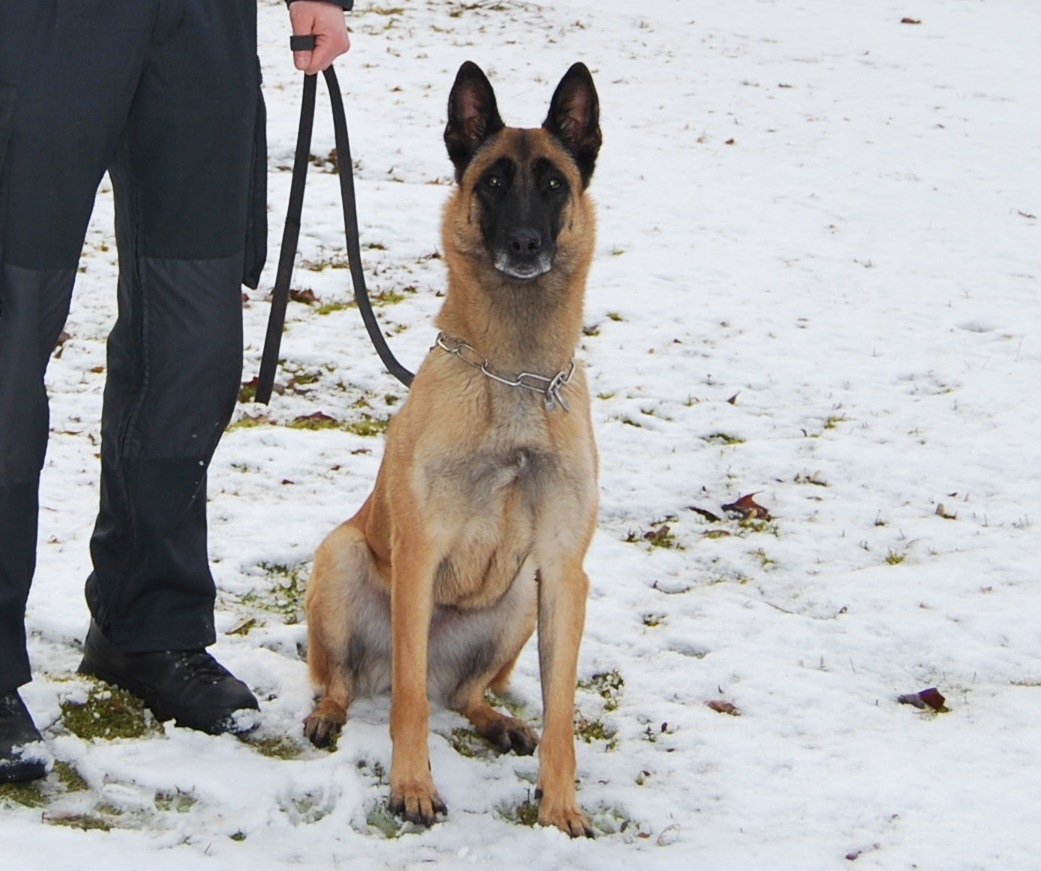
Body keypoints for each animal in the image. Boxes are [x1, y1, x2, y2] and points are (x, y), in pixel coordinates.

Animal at [301, 59, 603, 836]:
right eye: (492, 181)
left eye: (553, 183)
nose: (525, 243)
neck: (517, 377)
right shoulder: (419, 552)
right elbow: (408, 701)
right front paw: (411, 787)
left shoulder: (563, 570)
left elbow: (562, 714)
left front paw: (561, 805)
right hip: (341, 557)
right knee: (354, 679)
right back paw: (329, 713)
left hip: (519, 600)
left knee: (462, 695)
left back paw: (499, 721)